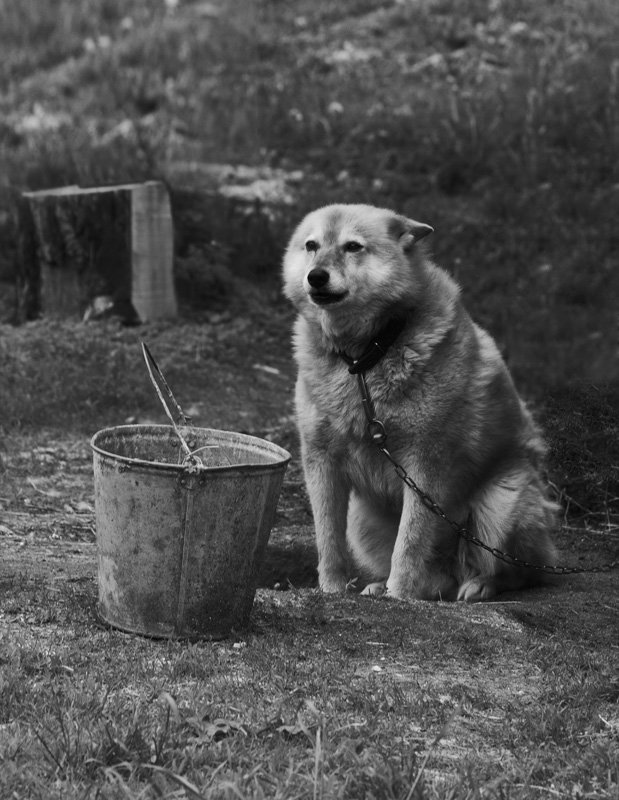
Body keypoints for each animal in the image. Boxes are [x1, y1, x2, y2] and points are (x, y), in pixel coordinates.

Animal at [284, 203, 560, 604]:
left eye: (353, 246)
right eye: (311, 245)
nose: (316, 276)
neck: (365, 358)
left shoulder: (425, 466)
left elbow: (409, 545)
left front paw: (398, 596)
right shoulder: (321, 461)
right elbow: (328, 541)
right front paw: (332, 590)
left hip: (500, 506)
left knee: (517, 572)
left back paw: (478, 585)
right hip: (362, 520)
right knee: (436, 579)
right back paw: (386, 585)